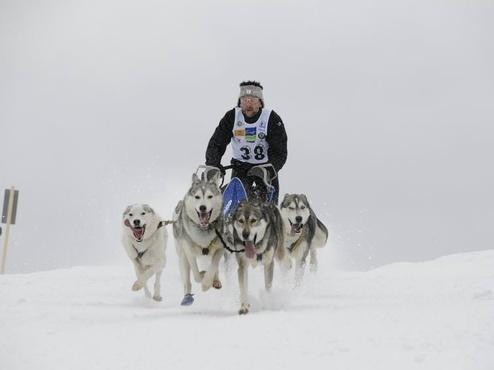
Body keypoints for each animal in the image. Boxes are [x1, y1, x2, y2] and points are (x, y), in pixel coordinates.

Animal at [172, 171, 222, 306]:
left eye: (210, 196)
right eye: (197, 197)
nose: (202, 207)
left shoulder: (220, 249)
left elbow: (214, 266)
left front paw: (207, 283)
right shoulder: (189, 252)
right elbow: (196, 276)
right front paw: (202, 275)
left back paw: (216, 280)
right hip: (182, 256)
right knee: (187, 280)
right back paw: (187, 297)